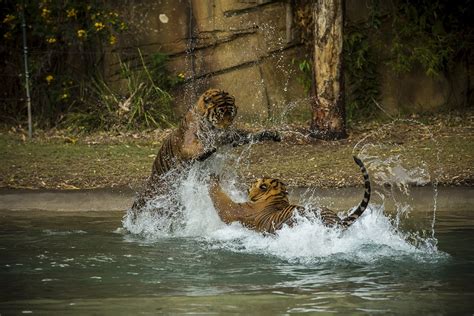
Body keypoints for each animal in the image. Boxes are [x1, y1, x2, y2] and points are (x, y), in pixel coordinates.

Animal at [128, 87, 280, 221]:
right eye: (220, 114)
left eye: (231, 113)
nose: (227, 127)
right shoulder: (189, 143)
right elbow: (202, 146)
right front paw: (213, 143)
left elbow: (248, 134)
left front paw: (270, 133)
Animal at [209, 156, 372, 233]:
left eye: (253, 183)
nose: (248, 188)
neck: (276, 197)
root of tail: (338, 221)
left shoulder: (235, 209)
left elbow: (221, 201)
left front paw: (212, 178)